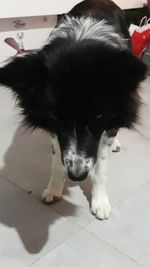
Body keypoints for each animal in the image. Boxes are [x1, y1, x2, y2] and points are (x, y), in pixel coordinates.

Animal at [0, 0, 147, 220]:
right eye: (55, 116)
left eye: (98, 115)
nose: (77, 176)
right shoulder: (55, 129)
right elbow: (56, 159)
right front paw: (54, 188)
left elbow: (101, 166)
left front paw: (100, 202)